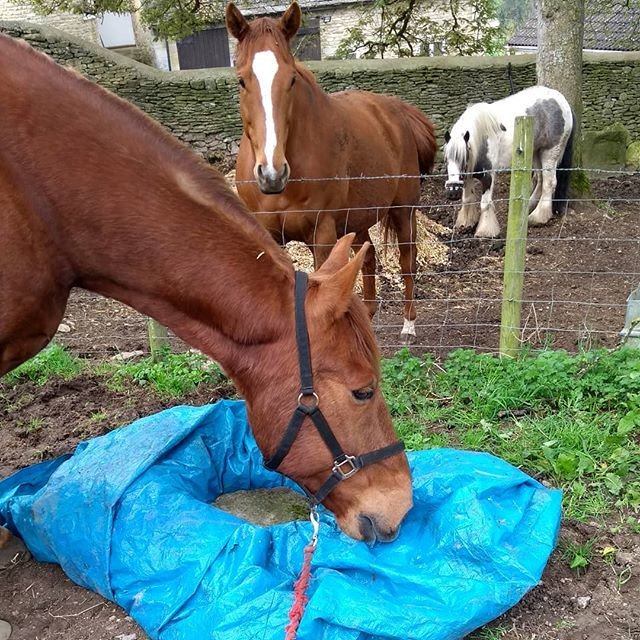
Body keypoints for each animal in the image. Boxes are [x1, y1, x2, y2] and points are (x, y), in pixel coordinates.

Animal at [225, 2, 437, 344]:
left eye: (291, 80)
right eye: (242, 81)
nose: (272, 174)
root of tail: (398, 112)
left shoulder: (322, 235)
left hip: (403, 211)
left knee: (407, 260)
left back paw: (408, 325)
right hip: (356, 219)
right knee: (369, 256)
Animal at [443, 86, 575, 238]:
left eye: (462, 157)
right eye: (447, 159)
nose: (452, 191)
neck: (481, 138)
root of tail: (562, 102)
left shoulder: (488, 176)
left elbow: (485, 203)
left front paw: (485, 230)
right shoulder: (468, 175)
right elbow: (467, 199)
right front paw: (465, 223)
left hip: (549, 154)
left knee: (549, 183)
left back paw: (538, 217)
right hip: (535, 153)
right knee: (540, 180)